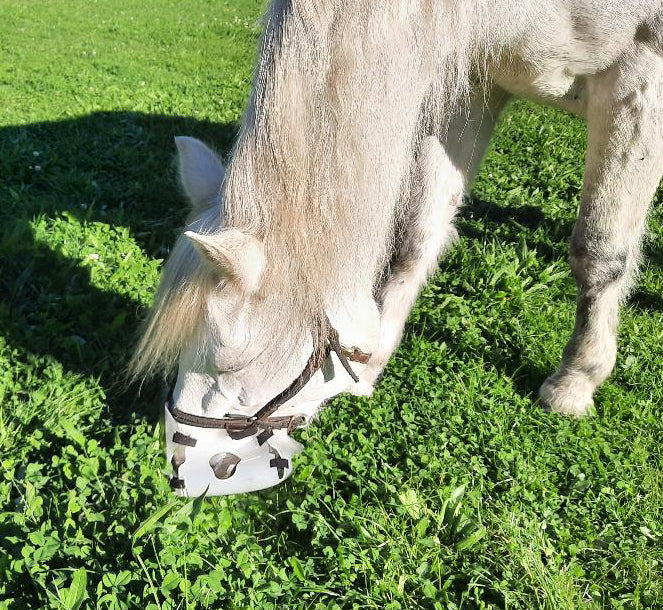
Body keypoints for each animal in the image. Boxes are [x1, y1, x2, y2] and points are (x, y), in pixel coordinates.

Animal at [130, 1, 663, 494]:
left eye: (232, 365)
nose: (183, 468)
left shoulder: (640, 83)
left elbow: (598, 253)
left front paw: (576, 380)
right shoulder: (473, 82)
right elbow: (416, 237)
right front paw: (371, 367)